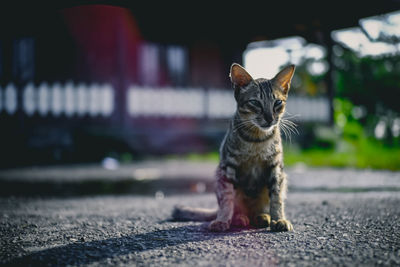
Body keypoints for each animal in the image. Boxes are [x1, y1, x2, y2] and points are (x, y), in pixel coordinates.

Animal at [173, 63, 296, 232]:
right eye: (255, 103)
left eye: (278, 103)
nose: (270, 118)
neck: (256, 140)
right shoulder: (228, 168)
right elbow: (227, 199)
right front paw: (222, 220)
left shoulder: (276, 168)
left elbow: (276, 198)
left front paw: (279, 219)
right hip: (219, 176)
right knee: (234, 207)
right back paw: (238, 218)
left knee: (260, 209)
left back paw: (263, 217)